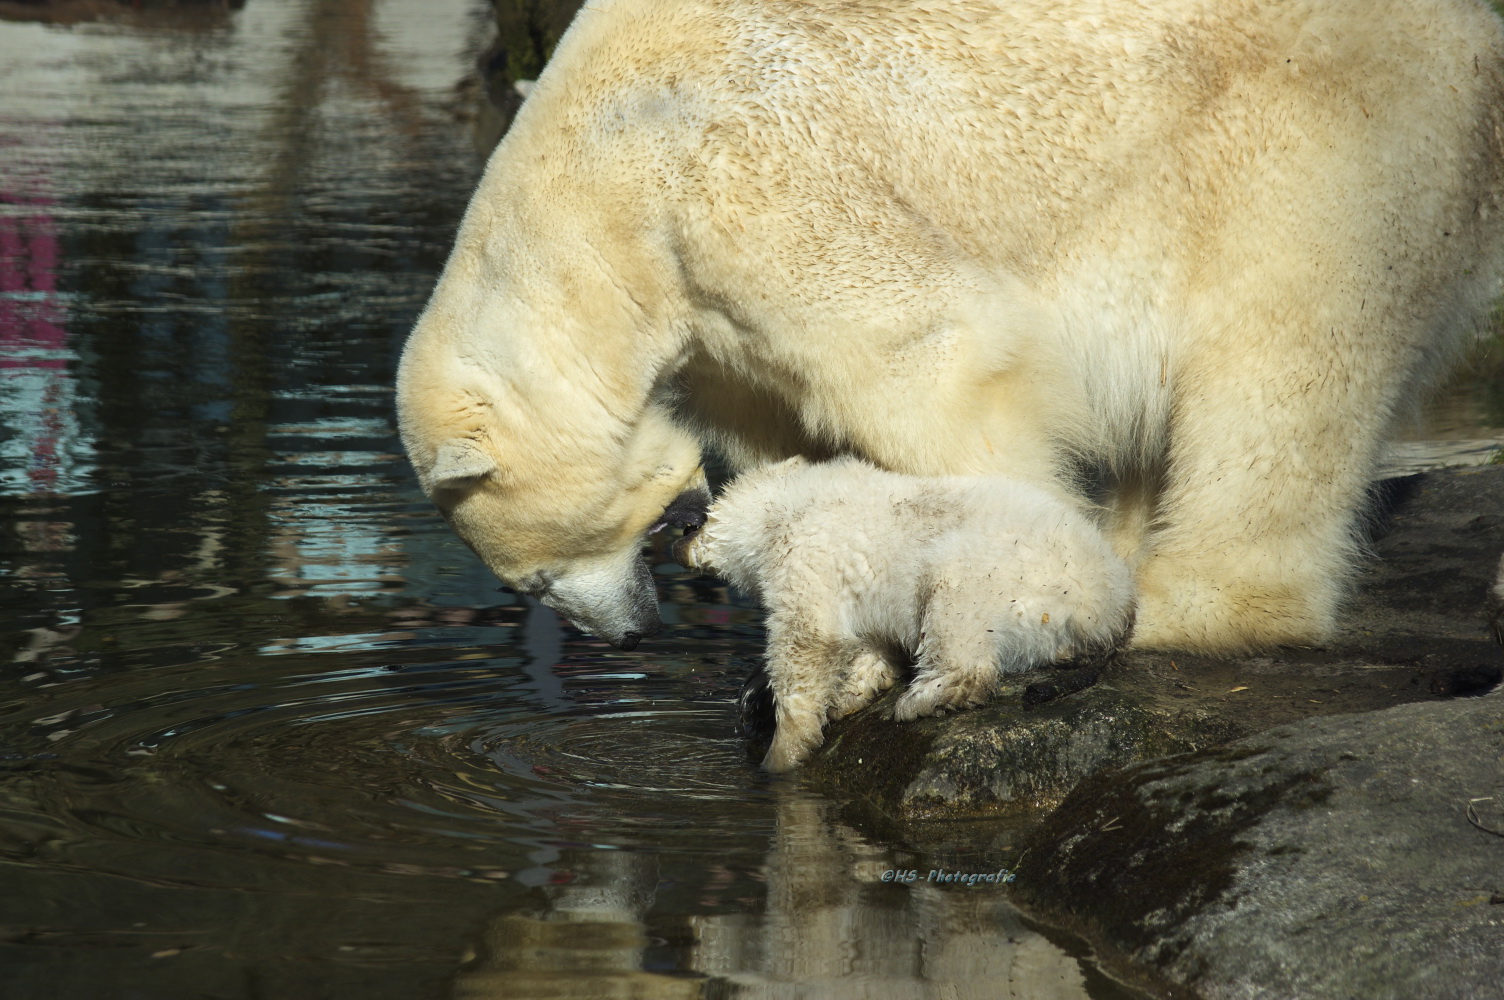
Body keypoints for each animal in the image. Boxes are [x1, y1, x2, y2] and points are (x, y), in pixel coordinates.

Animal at [397, 0, 1504, 655]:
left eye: (537, 577)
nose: (627, 630)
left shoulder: (741, 187)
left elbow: (931, 360)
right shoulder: (709, 316)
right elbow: (784, 422)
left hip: (1313, 151)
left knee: (1274, 375)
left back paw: (1189, 609)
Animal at [676, 457, 1131, 766]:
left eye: (698, 519)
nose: (679, 541)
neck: (784, 507)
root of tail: (1108, 604)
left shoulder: (804, 557)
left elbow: (808, 640)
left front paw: (783, 751)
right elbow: (866, 640)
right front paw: (851, 692)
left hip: (1011, 575)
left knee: (954, 610)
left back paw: (924, 699)